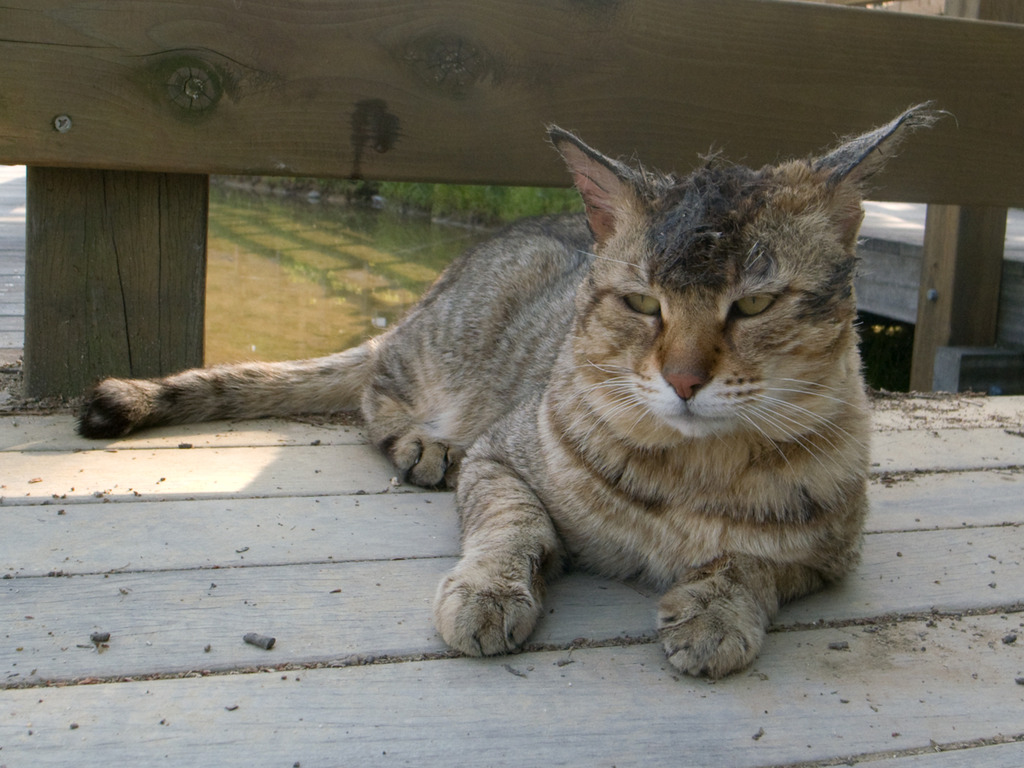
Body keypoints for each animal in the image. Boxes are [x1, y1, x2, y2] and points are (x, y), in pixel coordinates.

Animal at [79, 107, 937, 679]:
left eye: (754, 305)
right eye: (642, 303)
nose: (684, 378)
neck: (692, 476)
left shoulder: (834, 548)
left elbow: (756, 563)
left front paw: (717, 607)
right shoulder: (501, 456)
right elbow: (511, 525)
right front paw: (490, 590)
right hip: (440, 350)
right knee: (373, 396)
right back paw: (424, 442)